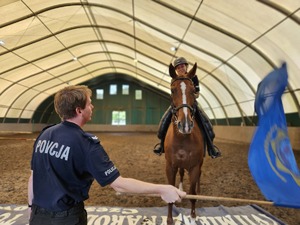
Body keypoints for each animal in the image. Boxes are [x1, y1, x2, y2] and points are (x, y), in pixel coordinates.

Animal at [163, 62, 205, 225]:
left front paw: (193, 217)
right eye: (172, 90)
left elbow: (192, 192)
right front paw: (169, 219)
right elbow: (170, 190)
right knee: (181, 173)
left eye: (193, 90)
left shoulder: (194, 166)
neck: (182, 139)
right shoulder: (170, 166)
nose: (185, 125)